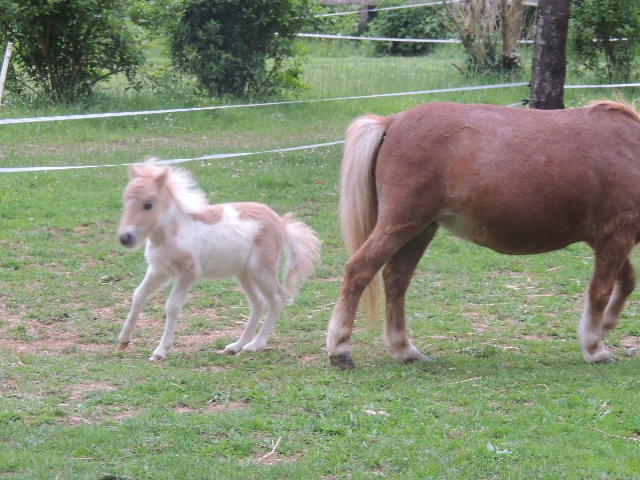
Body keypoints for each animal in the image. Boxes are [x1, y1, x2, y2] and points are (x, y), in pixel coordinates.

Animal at [115, 162, 320, 360]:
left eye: (148, 204)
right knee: (258, 303)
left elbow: (172, 306)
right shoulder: (160, 271)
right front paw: (123, 341)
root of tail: (281, 223)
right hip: (243, 273)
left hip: (261, 269)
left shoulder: (188, 274)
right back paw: (236, 346)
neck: (172, 233)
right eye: (125, 200)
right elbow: (139, 295)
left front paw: (160, 352)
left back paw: (255, 345)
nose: (125, 238)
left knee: (277, 299)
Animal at [328, 98, 640, 368]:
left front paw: (606, 326)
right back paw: (340, 350)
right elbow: (600, 291)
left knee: (396, 279)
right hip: (400, 224)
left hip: (419, 230)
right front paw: (595, 348)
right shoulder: (616, 236)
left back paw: (404, 350)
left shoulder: (604, 239)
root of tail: (391, 123)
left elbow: (626, 281)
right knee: (359, 270)